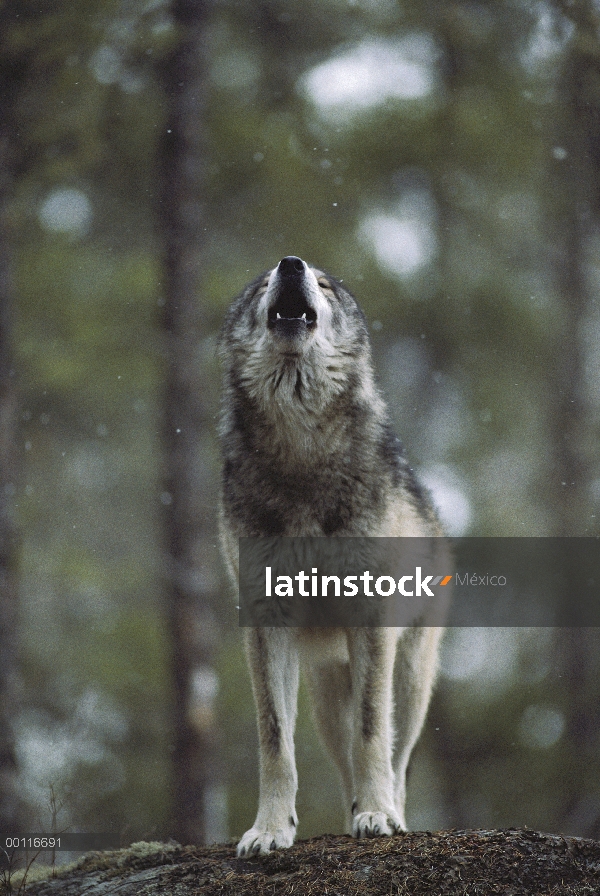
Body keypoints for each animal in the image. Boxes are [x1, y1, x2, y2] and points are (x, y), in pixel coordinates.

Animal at [218, 256, 442, 856]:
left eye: (323, 285)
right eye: (265, 282)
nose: (290, 264)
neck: (301, 451)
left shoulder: (370, 620)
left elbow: (372, 732)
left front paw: (379, 817)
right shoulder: (266, 623)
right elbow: (275, 741)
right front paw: (270, 830)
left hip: (410, 678)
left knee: (398, 759)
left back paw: (388, 813)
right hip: (323, 697)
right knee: (342, 766)